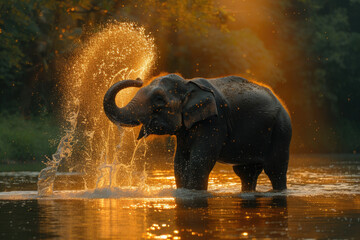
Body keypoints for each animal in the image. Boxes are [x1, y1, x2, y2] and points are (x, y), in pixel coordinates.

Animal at [102, 73, 292, 191]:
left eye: (159, 99)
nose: (139, 79)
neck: (188, 83)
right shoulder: (185, 130)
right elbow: (179, 162)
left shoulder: (214, 121)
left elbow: (199, 161)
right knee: (246, 172)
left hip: (281, 130)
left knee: (275, 170)